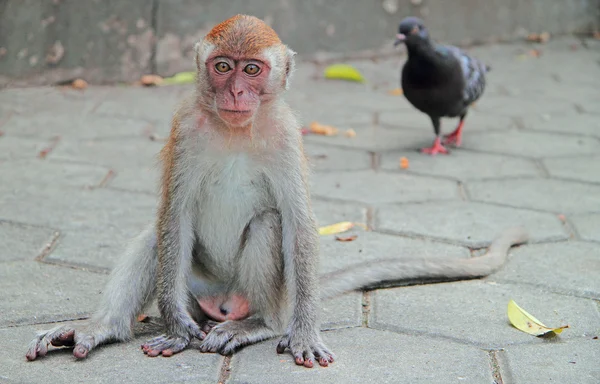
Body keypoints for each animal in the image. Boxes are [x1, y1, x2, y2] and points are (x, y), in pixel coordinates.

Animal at [24, 14, 528, 368]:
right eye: (222, 67)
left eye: (252, 68)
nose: (237, 92)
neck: (236, 129)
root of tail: (220, 304)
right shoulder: (185, 127)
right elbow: (174, 214)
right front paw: (174, 324)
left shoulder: (286, 135)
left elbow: (298, 222)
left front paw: (303, 332)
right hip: (196, 286)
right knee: (156, 237)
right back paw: (102, 328)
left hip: (262, 294)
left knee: (269, 226)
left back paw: (257, 326)